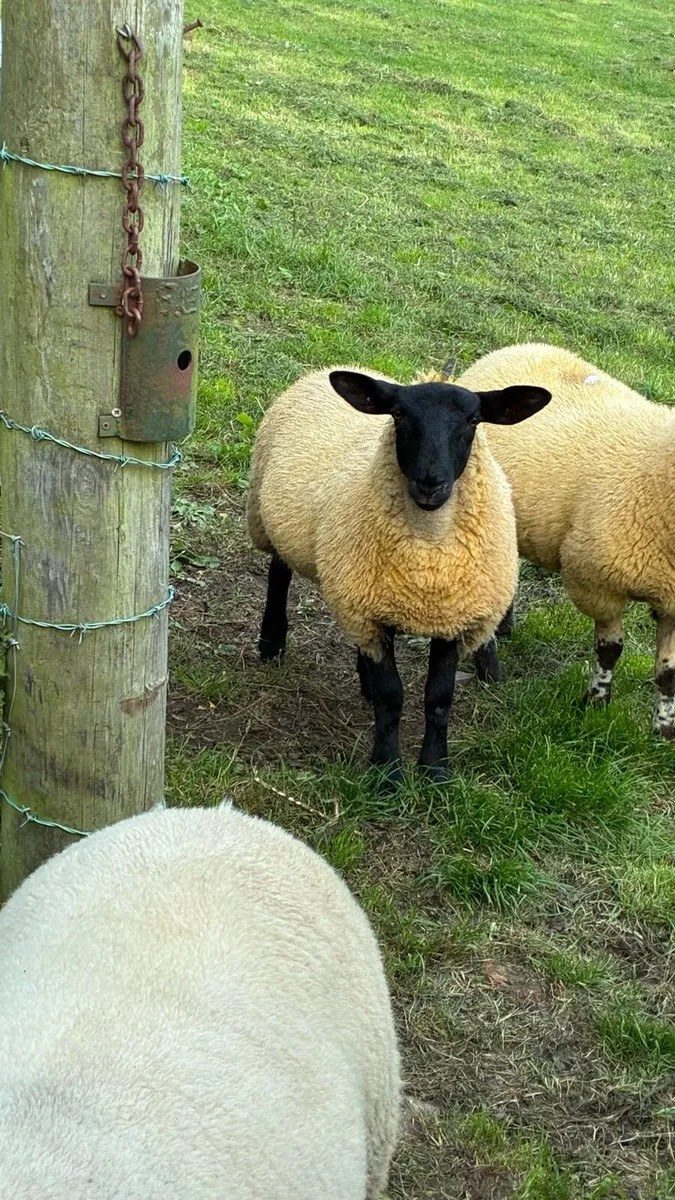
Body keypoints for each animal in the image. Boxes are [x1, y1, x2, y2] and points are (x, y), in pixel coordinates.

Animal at [247, 367, 550, 781]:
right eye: (399, 415)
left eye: (473, 420)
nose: (430, 482)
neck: (426, 556)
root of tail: (327, 368)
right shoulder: (372, 616)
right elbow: (391, 697)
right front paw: (388, 772)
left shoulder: (450, 615)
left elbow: (439, 698)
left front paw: (435, 771)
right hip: (273, 519)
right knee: (279, 574)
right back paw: (271, 642)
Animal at [442, 342, 675, 738]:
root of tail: (517, 346)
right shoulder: (595, 581)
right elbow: (609, 650)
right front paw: (596, 702)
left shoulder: (673, 602)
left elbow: (668, 674)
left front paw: (664, 730)